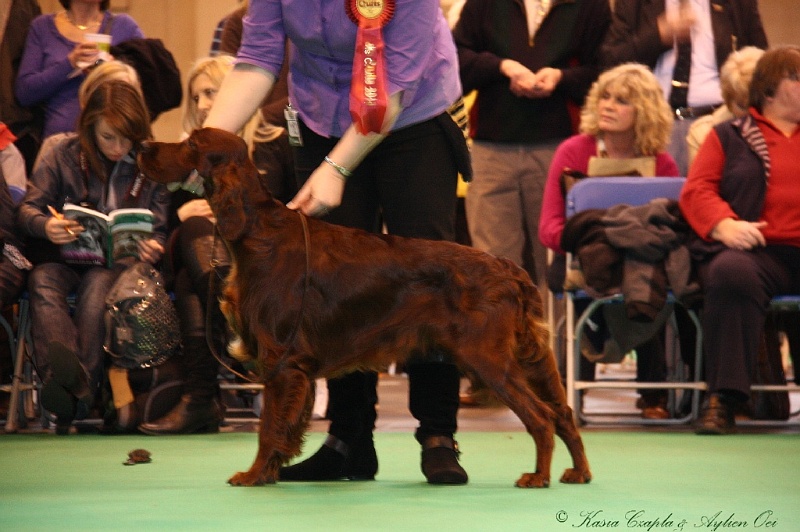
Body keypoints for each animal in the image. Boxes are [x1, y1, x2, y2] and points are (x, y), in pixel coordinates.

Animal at [138, 127, 592, 488]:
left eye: (191, 143)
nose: (143, 145)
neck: (257, 231)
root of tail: (508, 268)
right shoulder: (297, 368)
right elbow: (287, 428)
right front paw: (273, 471)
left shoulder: (282, 361)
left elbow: (269, 428)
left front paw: (252, 475)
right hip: (527, 357)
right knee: (564, 412)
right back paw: (578, 472)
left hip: (489, 359)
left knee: (542, 417)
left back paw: (538, 476)